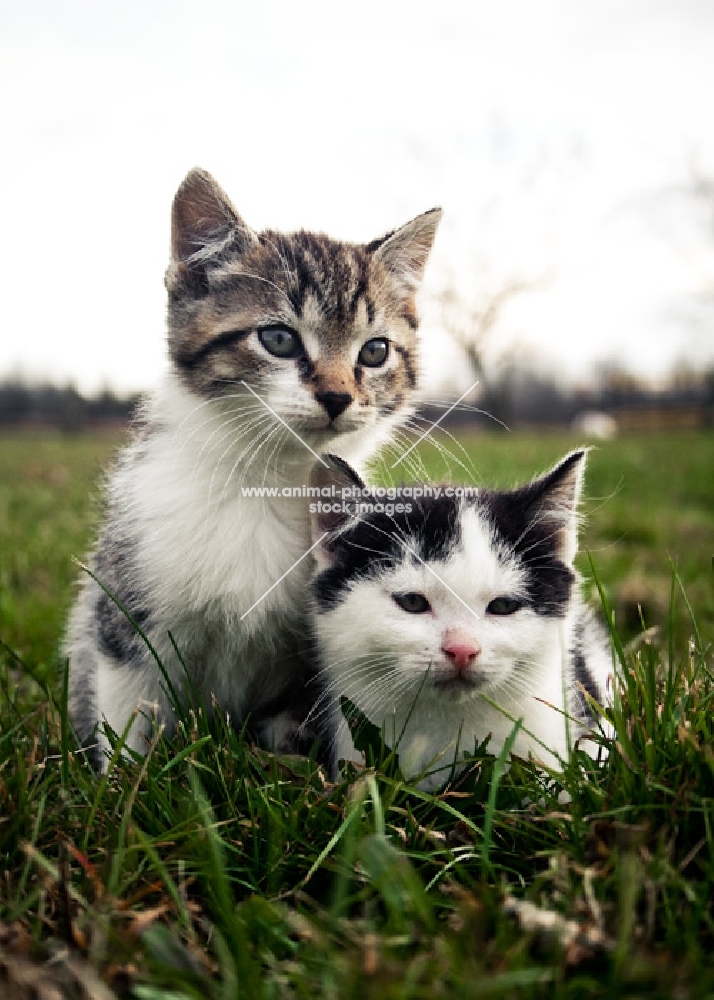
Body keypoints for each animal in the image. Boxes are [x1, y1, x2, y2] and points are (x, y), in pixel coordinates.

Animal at [65, 168, 440, 760]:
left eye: (375, 351)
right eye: (279, 338)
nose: (337, 396)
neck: (269, 481)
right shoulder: (127, 603)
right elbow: (129, 707)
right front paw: (127, 779)